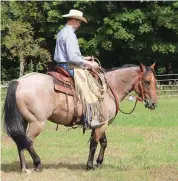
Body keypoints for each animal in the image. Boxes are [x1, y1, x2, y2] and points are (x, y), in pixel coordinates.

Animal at [3, 63, 157, 173]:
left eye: (155, 81)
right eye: (147, 81)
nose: (154, 104)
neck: (106, 90)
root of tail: (19, 81)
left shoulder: (99, 122)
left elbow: (103, 142)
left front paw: (99, 163)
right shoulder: (102, 124)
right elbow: (94, 143)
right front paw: (90, 165)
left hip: (24, 121)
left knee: (20, 141)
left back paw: (24, 167)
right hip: (37, 122)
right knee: (28, 141)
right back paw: (38, 164)